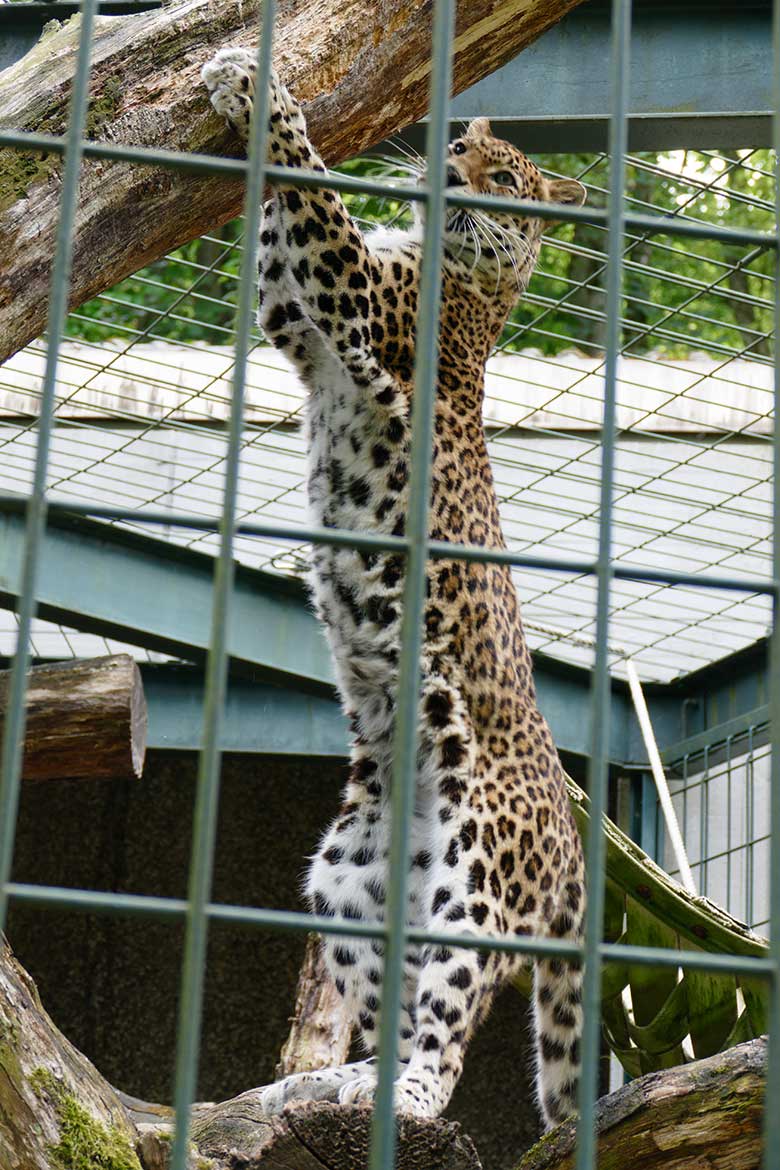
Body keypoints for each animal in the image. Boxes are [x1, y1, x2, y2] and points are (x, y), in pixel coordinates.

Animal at [201, 50, 584, 1127]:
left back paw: (409, 1095)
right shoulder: (293, 319)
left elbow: (315, 191)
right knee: (394, 1010)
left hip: (477, 878)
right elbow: (278, 225)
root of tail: (577, 841)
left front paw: (264, 93)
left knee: (446, 1037)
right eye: (466, 149)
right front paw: (238, 72)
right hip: (350, 876)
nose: (454, 166)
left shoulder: (354, 298)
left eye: (507, 182)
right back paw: (330, 1082)